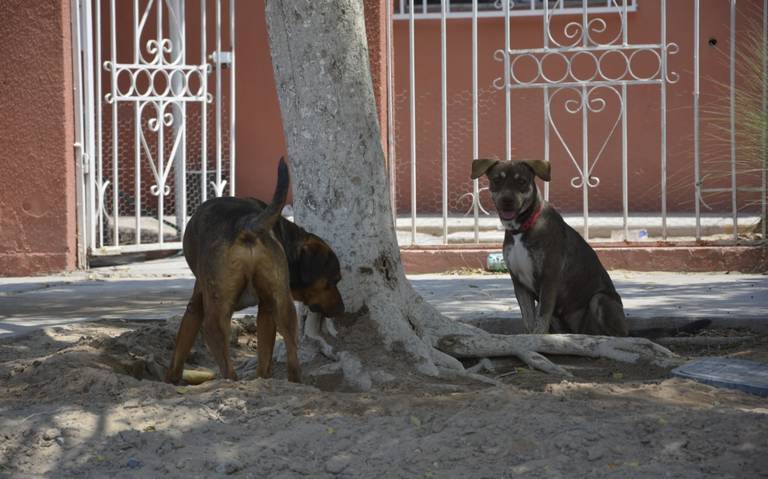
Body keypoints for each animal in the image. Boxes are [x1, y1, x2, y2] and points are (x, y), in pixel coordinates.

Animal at [169, 159, 348, 384]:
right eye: (334, 281)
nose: (342, 309)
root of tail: (248, 224)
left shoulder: (196, 305)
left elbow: (180, 350)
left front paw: (171, 380)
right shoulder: (267, 309)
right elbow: (265, 352)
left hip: (215, 320)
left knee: (227, 367)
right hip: (284, 307)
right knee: (292, 358)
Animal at [472, 159, 628, 336]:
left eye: (522, 181)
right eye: (497, 180)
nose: (507, 200)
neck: (523, 227)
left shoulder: (549, 278)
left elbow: (541, 319)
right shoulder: (519, 283)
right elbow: (529, 320)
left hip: (601, 299)